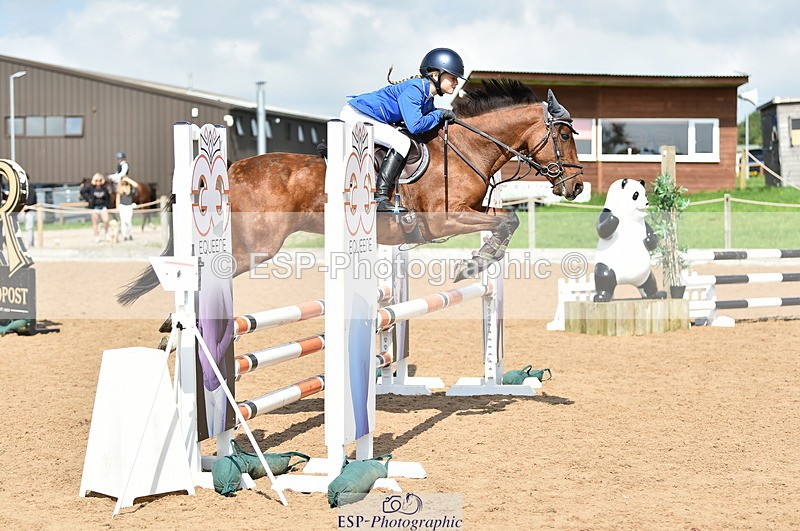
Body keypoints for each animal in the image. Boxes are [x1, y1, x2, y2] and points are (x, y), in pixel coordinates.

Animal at [117, 79, 583, 305]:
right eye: (563, 134)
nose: (577, 186)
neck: (468, 147)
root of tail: (234, 166)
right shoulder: (443, 218)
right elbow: (510, 217)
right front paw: (473, 265)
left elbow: (506, 220)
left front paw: (480, 260)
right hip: (254, 248)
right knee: (205, 270)